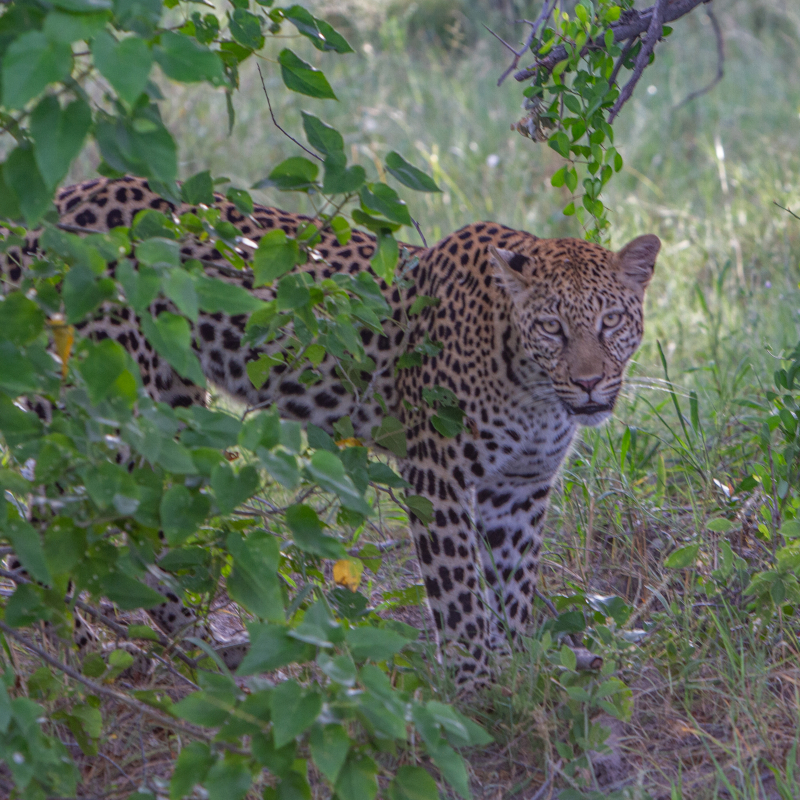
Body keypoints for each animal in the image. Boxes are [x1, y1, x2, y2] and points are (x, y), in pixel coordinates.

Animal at [3, 175, 660, 686]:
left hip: (165, 410)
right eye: (551, 327)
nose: (589, 384)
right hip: (114, 412)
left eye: (610, 321)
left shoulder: (519, 487)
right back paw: (85, 661)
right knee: (52, 534)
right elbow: (458, 592)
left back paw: (209, 651)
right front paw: (476, 683)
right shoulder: (437, 474)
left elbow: (514, 586)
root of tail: (52, 204)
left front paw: (520, 670)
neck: (533, 390)